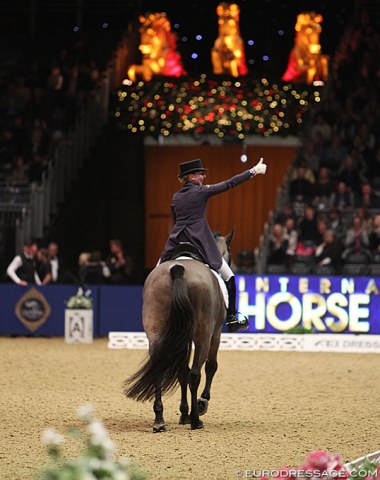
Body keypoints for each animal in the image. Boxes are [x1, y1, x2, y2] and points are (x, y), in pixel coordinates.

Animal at [123, 230, 233, 432]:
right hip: (203, 335)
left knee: (158, 370)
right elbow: (210, 366)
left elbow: (182, 371)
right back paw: (196, 420)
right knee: (196, 373)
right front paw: (201, 404)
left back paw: (159, 420)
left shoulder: (181, 338)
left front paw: (183, 413)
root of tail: (178, 268)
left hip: (157, 334)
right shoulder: (216, 334)